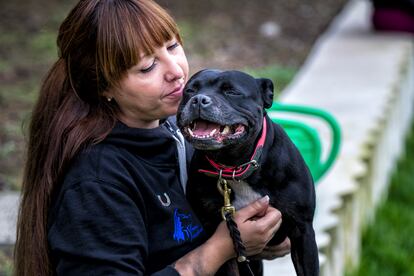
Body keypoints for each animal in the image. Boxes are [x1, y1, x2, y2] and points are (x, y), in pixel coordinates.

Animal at [176, 69, 318, 276]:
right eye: (190, 90)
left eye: (232, 92)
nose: (199, 99)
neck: (234, 166)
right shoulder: (221, 240)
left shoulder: (303, 230)